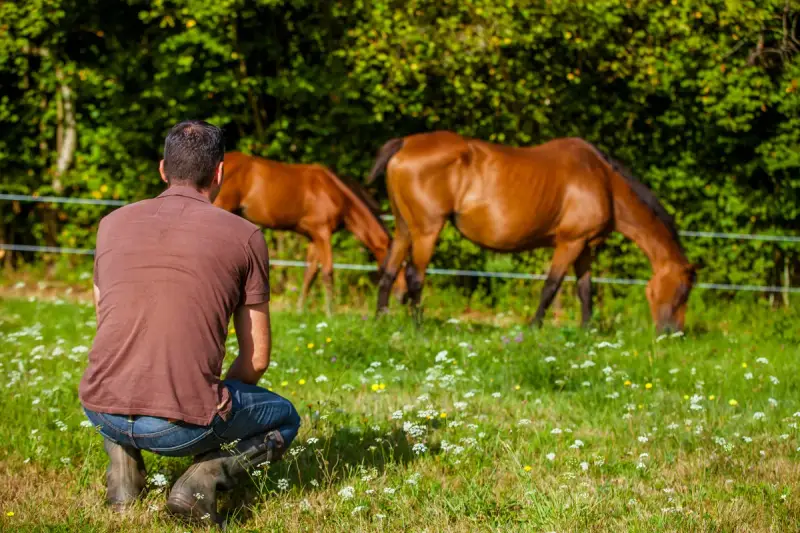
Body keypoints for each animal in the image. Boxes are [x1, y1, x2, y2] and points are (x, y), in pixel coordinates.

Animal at [214, 151, 406, 315]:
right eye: (400, 266)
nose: (403, 296)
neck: (335, 193)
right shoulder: (323, 233)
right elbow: (327, 273)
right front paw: (330, 313)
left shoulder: (313, 238)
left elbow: (310, 274)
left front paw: (300, 310)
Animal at [367, 131, 697, 332]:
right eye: (683, 290)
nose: (673, 334)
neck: (603, 181)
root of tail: (405, 143)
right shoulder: (570, 243)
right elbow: (551, 286)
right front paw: (534, 327)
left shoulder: (585, 247)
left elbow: (585, 290)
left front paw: (586, 331)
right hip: (427, 230)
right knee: (414, 276)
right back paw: (418, 325)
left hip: (404, 229)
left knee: (389, 271)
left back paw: (382, 321)